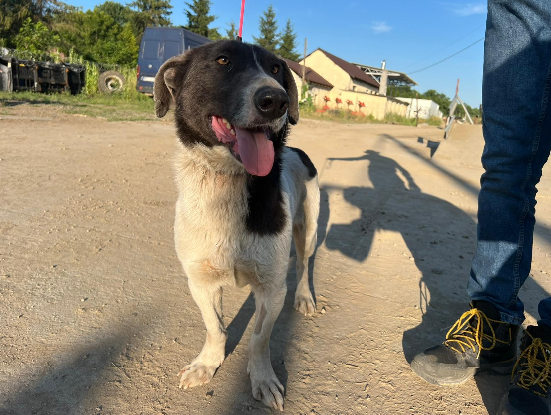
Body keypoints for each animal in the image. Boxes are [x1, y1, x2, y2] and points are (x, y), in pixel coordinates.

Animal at [154, 40, 320, 411]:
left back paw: (304, 297)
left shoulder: (272, 288)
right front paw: (207, 364)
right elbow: (216, 328)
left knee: (304, 264)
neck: (228, 182)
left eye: (276, 69)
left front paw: (263, 378)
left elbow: (259, 339)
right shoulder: (200, 281)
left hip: (309, 229)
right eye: (222, 61)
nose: (277, 101)